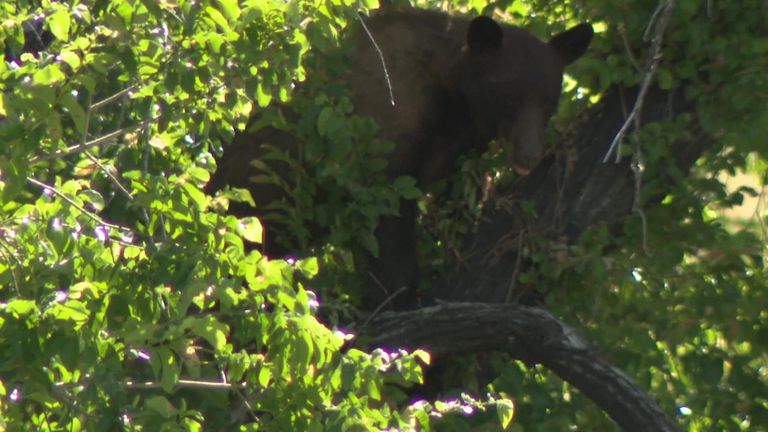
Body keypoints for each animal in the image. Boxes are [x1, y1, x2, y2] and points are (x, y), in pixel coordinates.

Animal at [208, 8, 592, 308]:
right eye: (510, 98)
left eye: (549, 101)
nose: (529, 155)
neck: (455, 97)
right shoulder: (382, 128)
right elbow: (384, 215)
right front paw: (402, 295)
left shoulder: (461, 147)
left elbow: (458, 196)